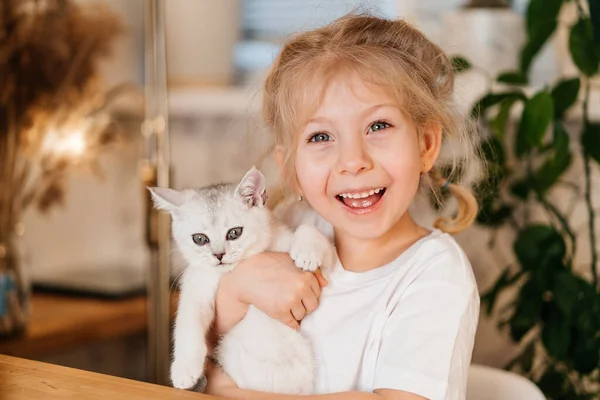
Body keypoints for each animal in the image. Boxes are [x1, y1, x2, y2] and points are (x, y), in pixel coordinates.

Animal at [146, 166, 332, 394]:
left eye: (234, 233)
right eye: (199, 239)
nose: (218, 255)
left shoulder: (328, 264)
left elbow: (309, 229)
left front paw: (307, 253)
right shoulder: (196, 286)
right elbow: (187, 324)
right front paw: (184, 370)